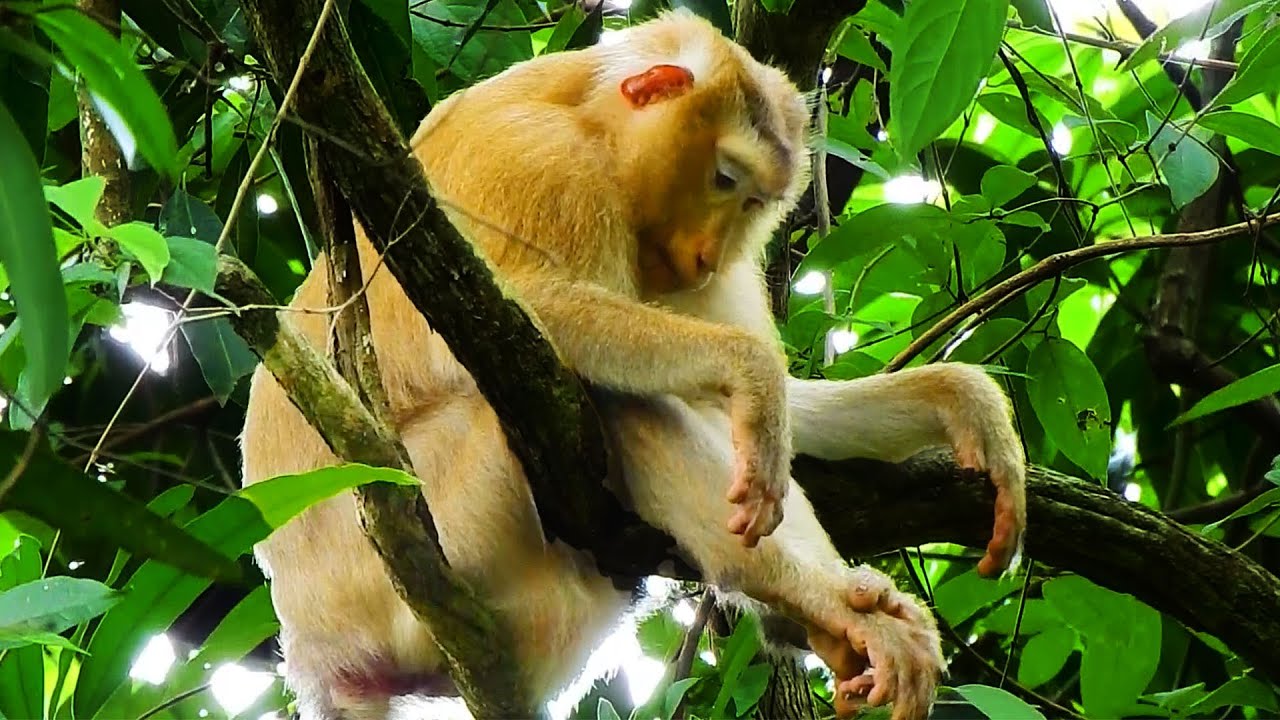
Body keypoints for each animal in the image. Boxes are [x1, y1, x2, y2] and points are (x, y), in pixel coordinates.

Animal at [240, 10, 1027, 720]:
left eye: (752, 201)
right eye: (721, 178)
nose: (706, 256)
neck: (585, 108)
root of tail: (320, 648)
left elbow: (770, 416)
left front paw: (960, 400)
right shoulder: (540, 161)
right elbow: (523, 311)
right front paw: (751, 373)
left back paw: (837, 617)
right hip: (420, 530)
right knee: (597, 395)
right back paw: (814, 598)